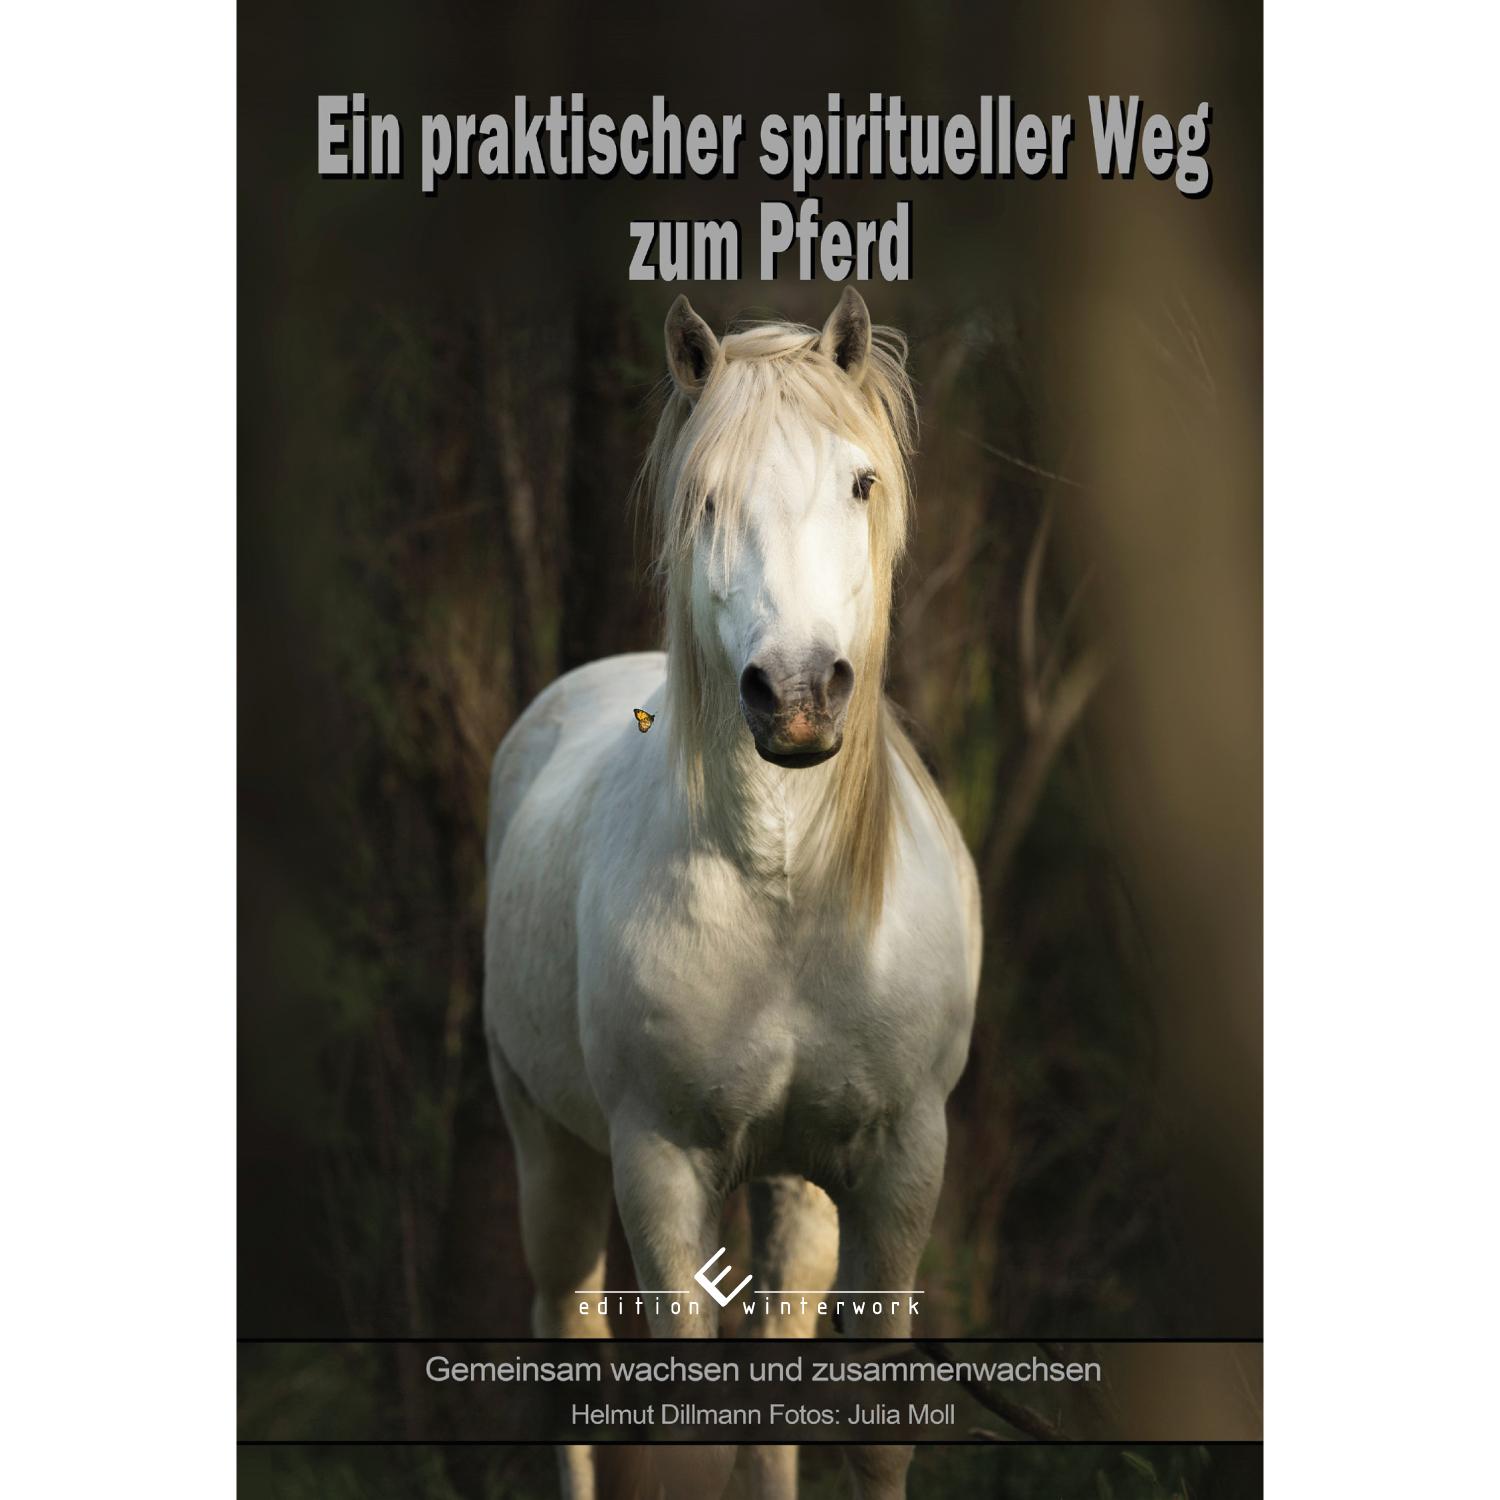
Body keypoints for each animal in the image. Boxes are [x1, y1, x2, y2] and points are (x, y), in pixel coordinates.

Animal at [483, 288, 981, 1499]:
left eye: (861, 482)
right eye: (705, 496)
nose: (797, 694)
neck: (787, 897)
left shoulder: (898, 1164)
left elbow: (859, 1424)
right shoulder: (660, 1166)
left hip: (791, 1193)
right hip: (549, 1152)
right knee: (569, 1349)